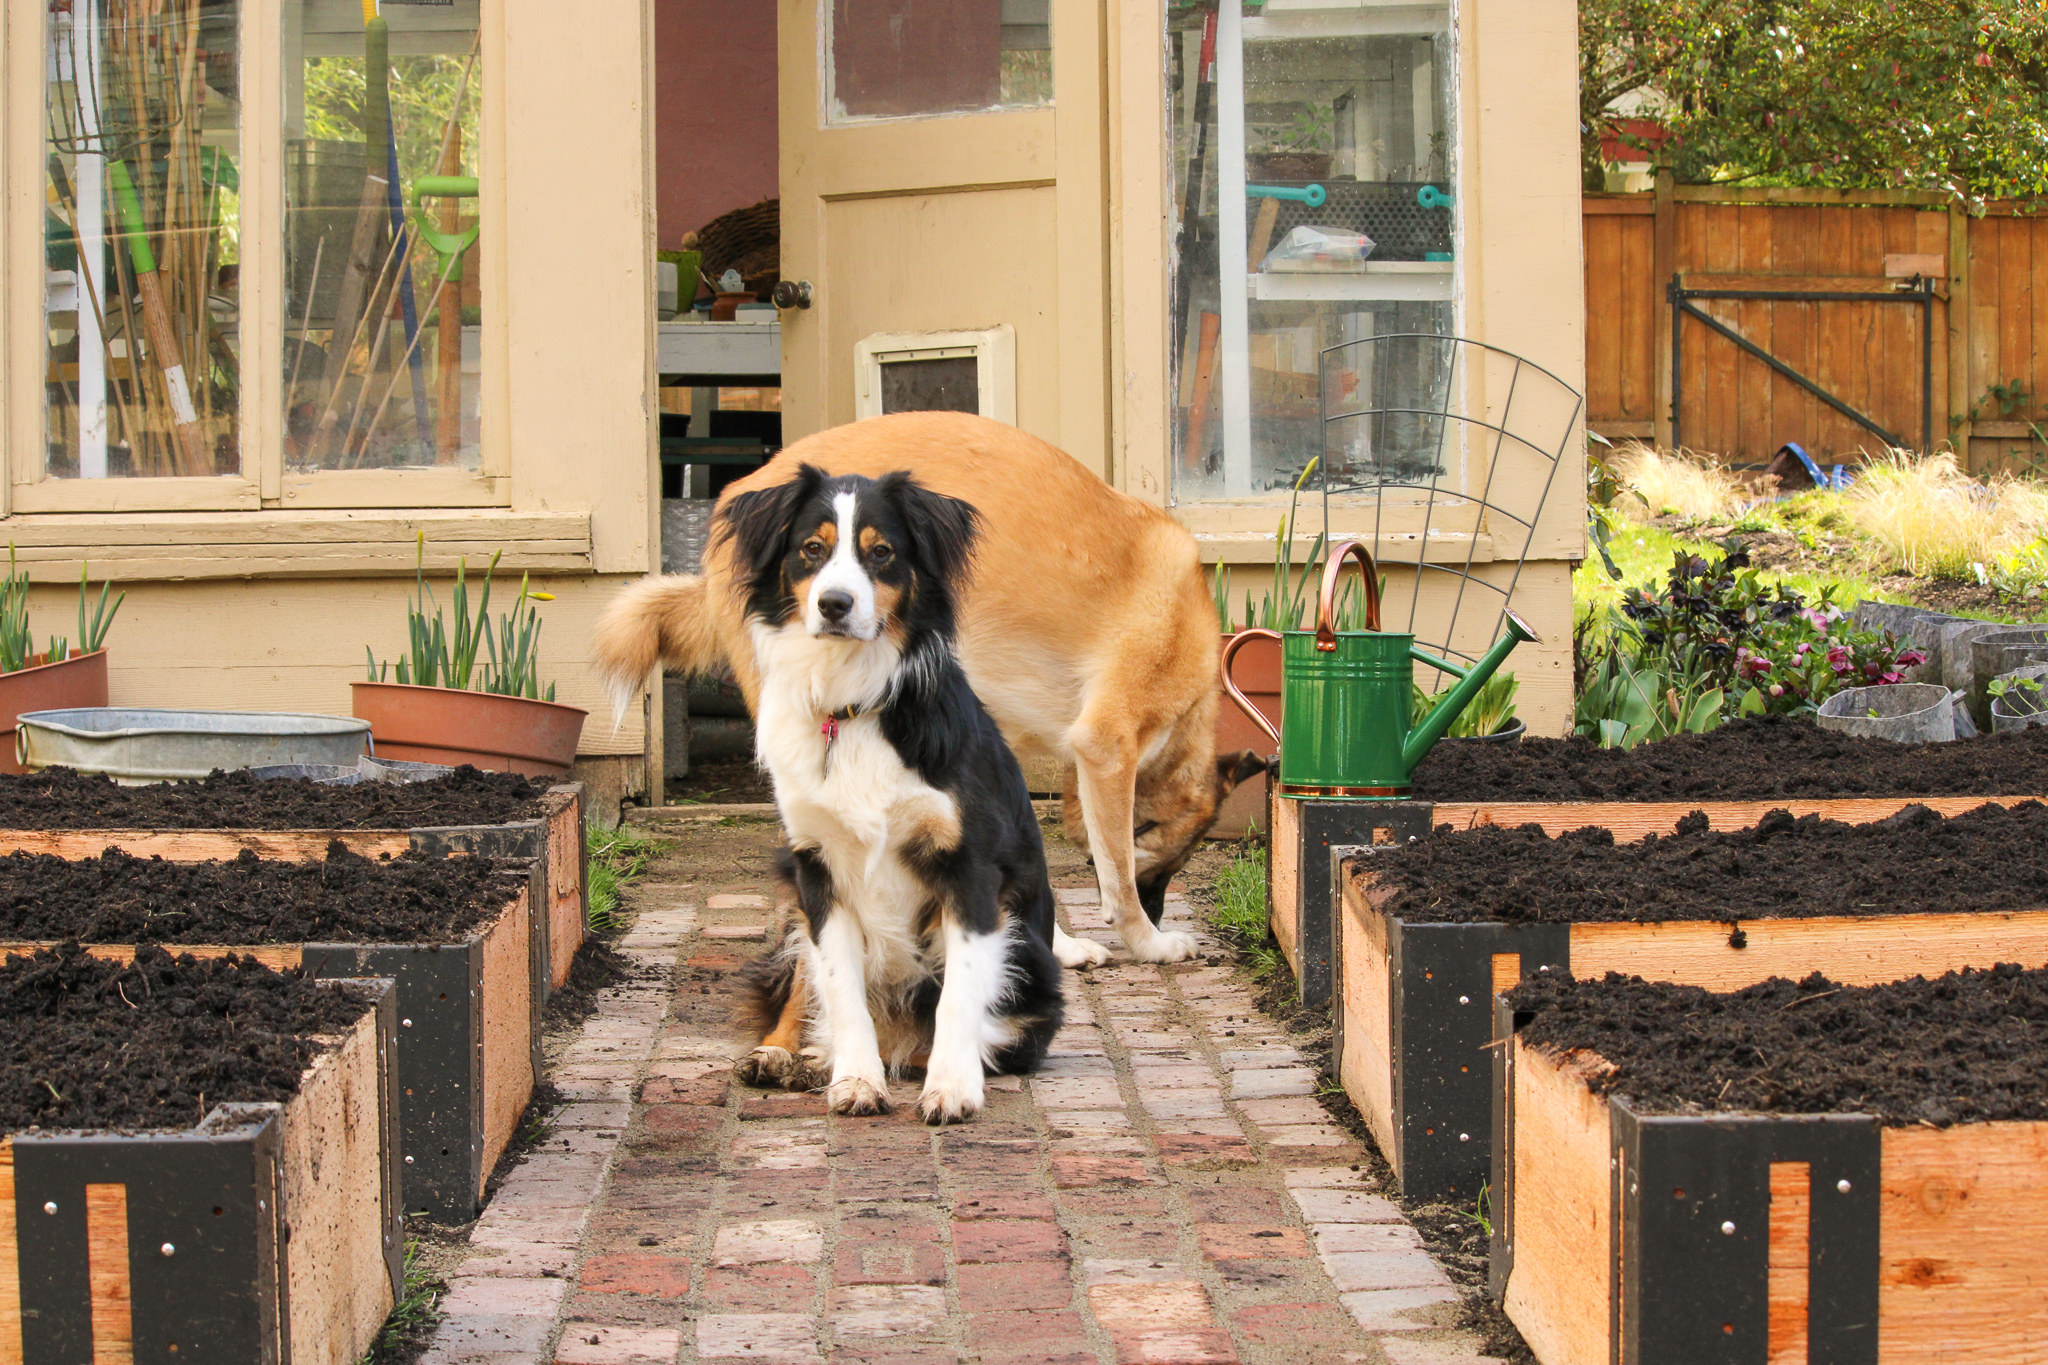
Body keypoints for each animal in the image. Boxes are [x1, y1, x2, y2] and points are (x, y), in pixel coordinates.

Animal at [598, 411, 1261, 978]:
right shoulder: (1108, 747)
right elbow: (1117, 873)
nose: (1159, 911)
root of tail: (736, 499)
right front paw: (1149, 941)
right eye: (1171, 859)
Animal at [720, 464, 1064, 1129]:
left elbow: (959, 996)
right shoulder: (817, 868)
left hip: (1033, 969)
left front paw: (952, 1088)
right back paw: (787, 1056)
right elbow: (840, 988)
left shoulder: (971, 870)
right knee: (805, 988)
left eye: (881, 553)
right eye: (812, 548)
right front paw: (855, 1079)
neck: (853, 705)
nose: (834, 604)